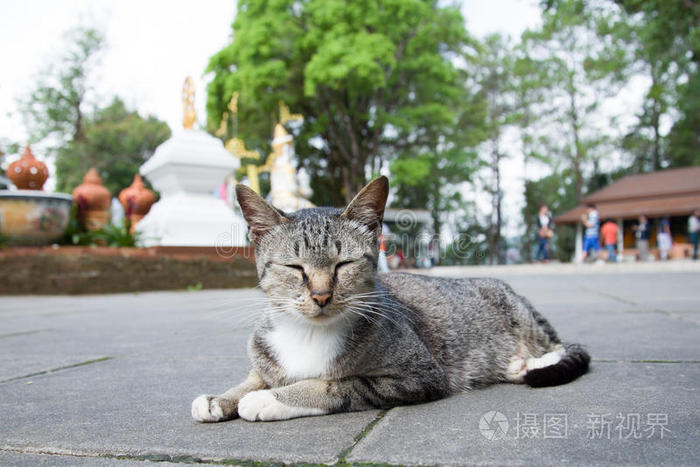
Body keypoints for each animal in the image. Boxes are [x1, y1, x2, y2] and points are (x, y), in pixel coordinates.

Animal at [191, 176, 592, 424]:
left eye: (343, 264)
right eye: (294, 267)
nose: (321, 295)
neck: (308, 333)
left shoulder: (419, 374)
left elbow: (335, 385)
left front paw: (272, 399)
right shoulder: (266, 358)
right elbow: (254, 377)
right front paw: (221, 398)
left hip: (523, 322)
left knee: (557, 346)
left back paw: (527, 364)